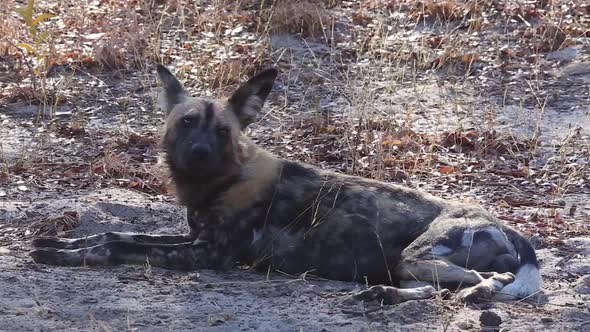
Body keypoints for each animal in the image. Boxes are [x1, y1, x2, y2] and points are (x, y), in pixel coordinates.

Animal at [30, 64, 544, 304]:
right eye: (186, 123)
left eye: (223, 132)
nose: (199, 153)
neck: (219, 183)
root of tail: (513, 229)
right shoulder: (190, 237)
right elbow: (112, 231)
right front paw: (57, 243)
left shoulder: (206, 255)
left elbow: (115, 246)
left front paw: (64, 255)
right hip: (406, 265)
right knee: (444, 286)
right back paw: (381, 296)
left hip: (417, 255)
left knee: (486, 281)